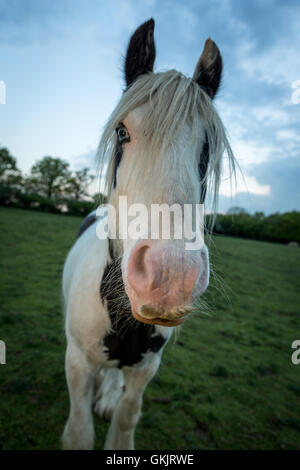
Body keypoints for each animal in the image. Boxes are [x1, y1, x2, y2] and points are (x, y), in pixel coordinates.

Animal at [61, 19, 234, 452]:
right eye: (122, 132)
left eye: (208, 144)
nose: (171, 275)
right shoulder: (77, 361)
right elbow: (79, 431)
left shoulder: (147, 367)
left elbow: (127, 415)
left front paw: (114, 409)